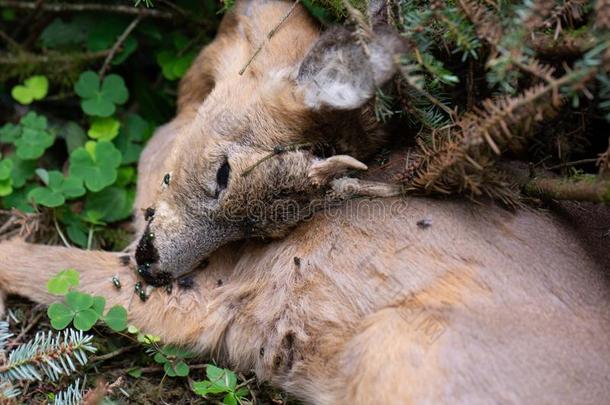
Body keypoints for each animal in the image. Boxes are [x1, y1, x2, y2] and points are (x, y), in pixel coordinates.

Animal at [1, 1, 608, 402]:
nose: (154, 268)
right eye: (222, 172)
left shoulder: (206, 302)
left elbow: (50, 265)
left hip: (395, 347)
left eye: (262, 232)